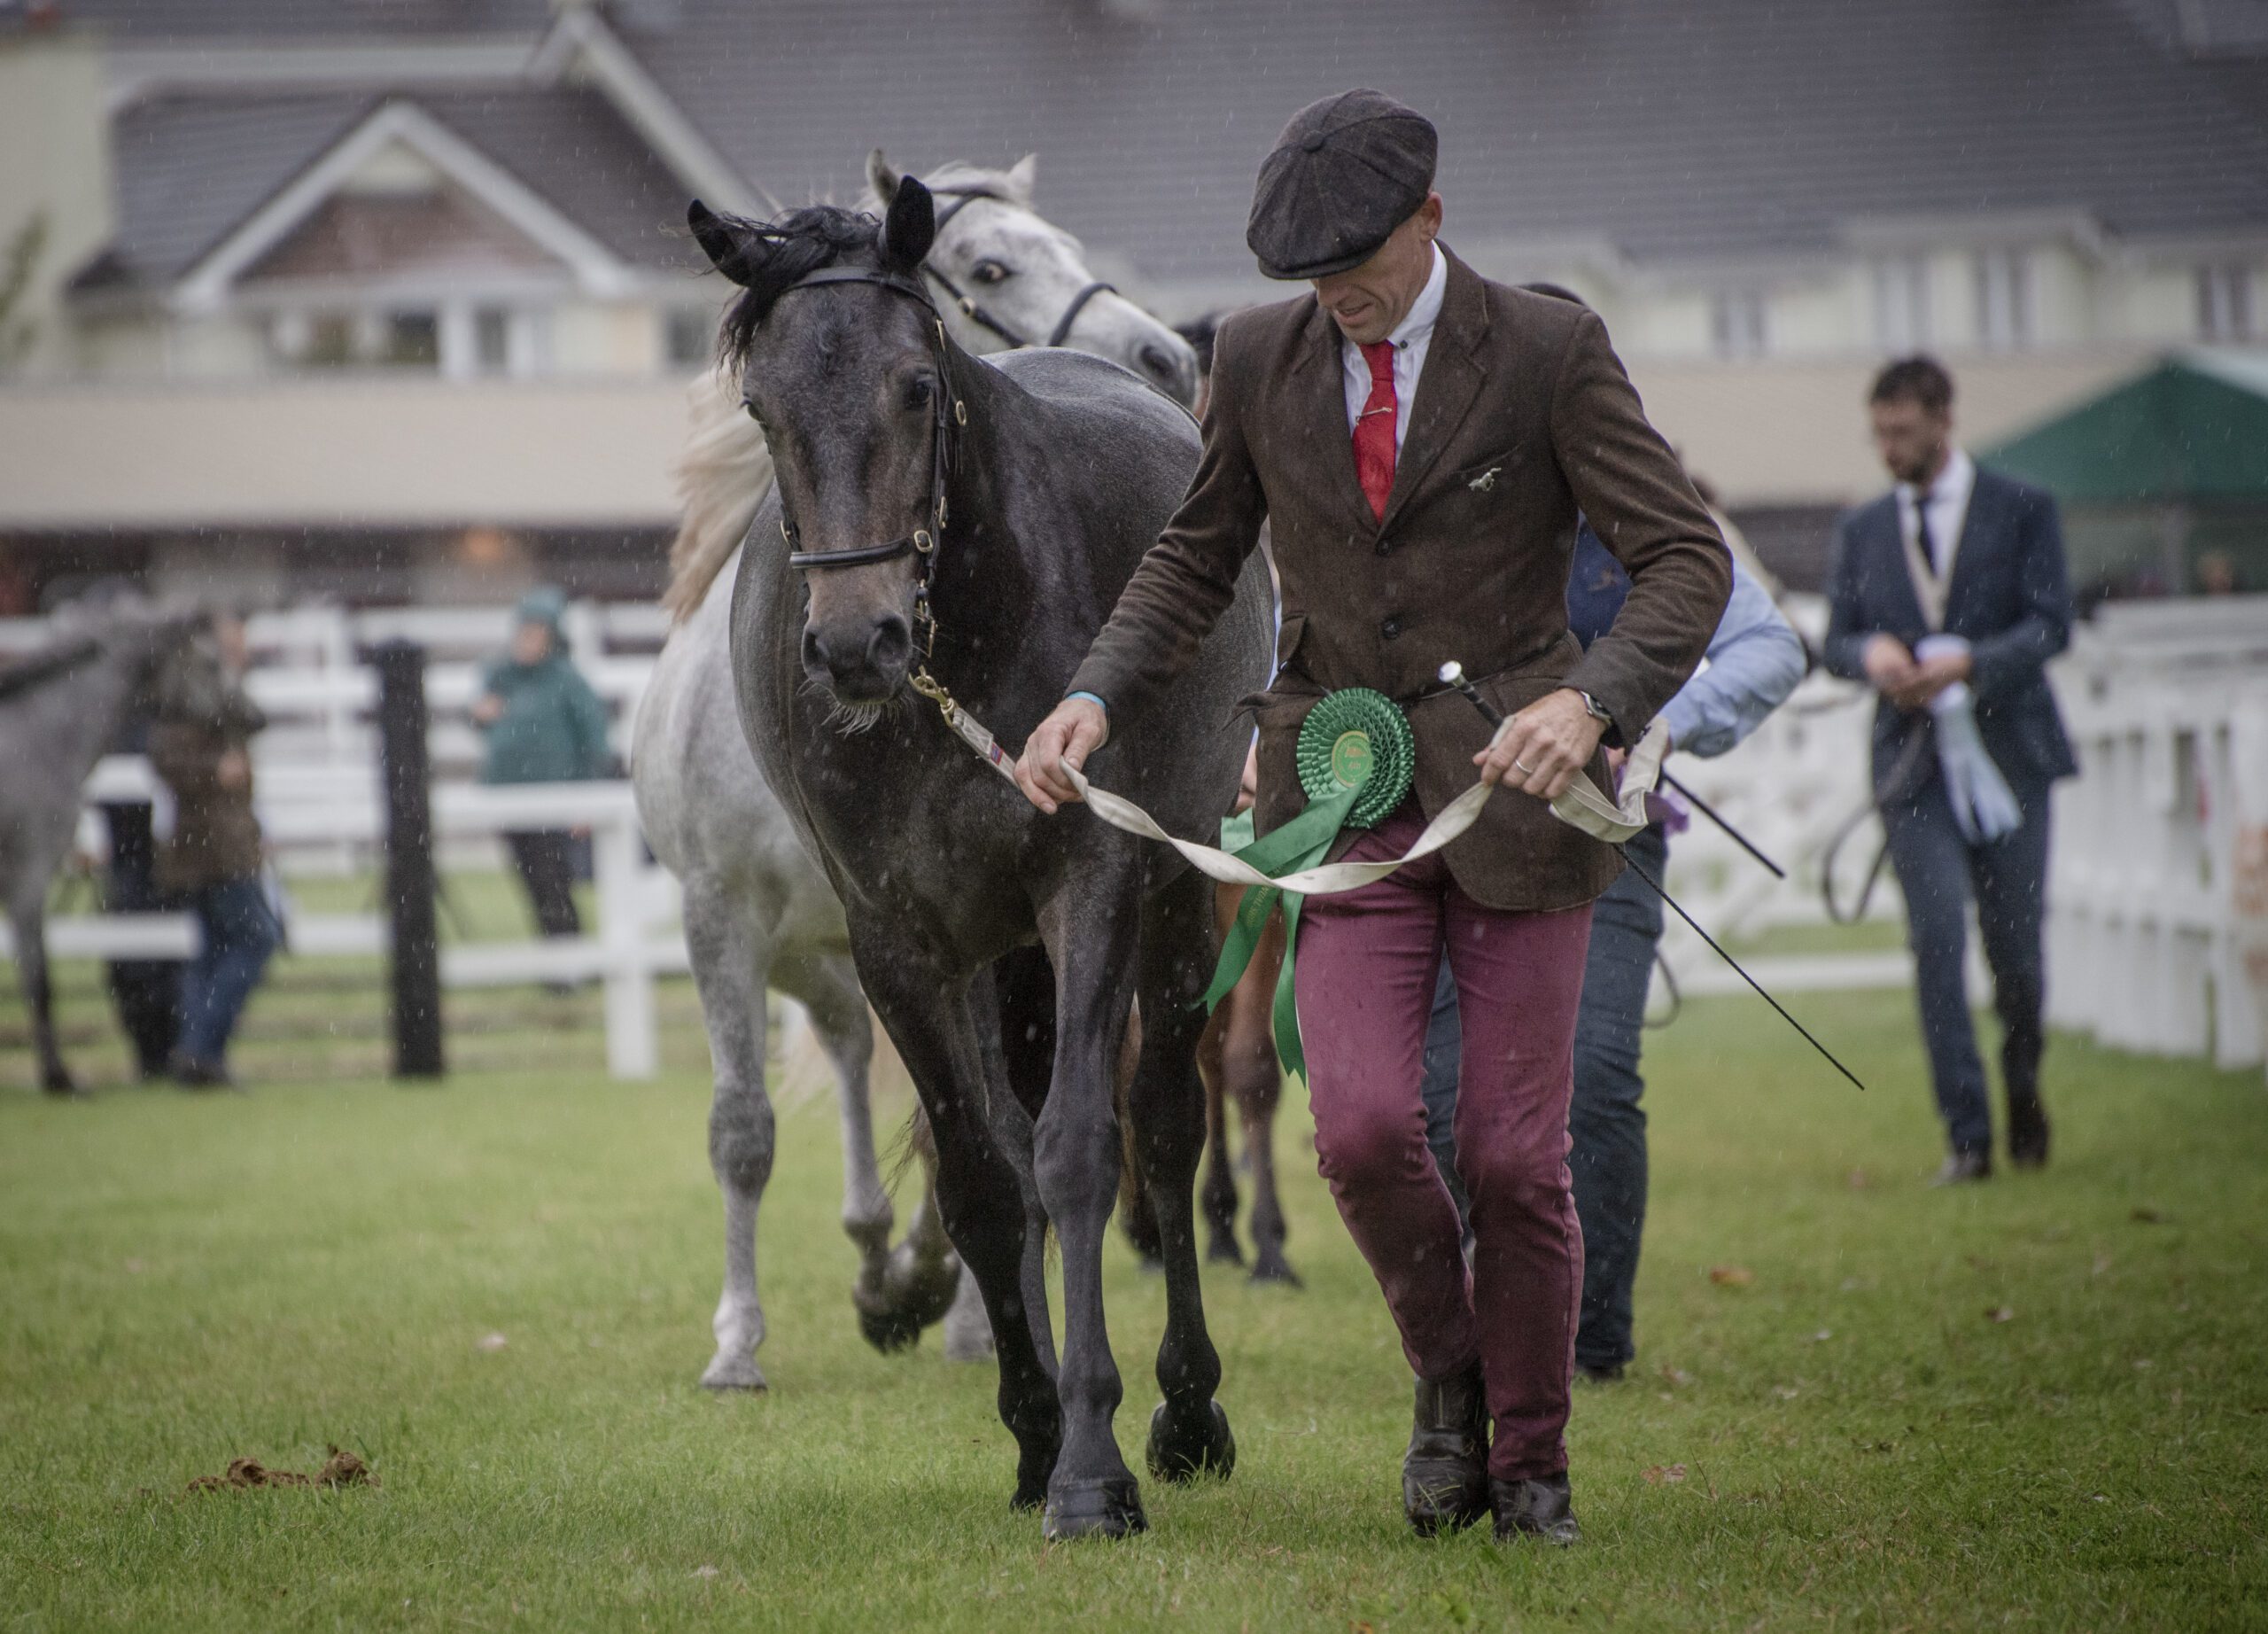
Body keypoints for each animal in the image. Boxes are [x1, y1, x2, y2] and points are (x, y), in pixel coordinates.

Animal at [1, 594, 216, 1093]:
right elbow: (39, 978)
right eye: (210, 662)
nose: (257, 715)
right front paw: (57, 1077)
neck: (39, 736)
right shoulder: (29, 877)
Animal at [695, 174, 1269, 1539]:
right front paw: (1035, 1428)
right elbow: (980, 1180)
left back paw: (1187, 1410)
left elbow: (1077, 1152)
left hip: (1180, 905)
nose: (857, 643)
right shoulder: (899, 941)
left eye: (917, 384)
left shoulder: (1093, 889)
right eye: (760, 406)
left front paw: (1094, 1464)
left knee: (1166, 1124)